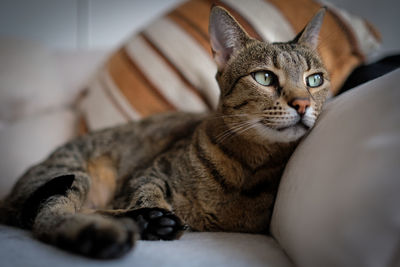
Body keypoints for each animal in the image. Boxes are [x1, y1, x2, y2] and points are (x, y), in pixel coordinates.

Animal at [0, 5, 328, 260]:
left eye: (314, 80)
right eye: (264, 77)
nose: (302, 103)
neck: (247, 165)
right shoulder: (149, 173)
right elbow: (147, 191)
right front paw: (154, 214)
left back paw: (142, 223)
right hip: (72, 173)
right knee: (48, 216)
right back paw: (112, 231)